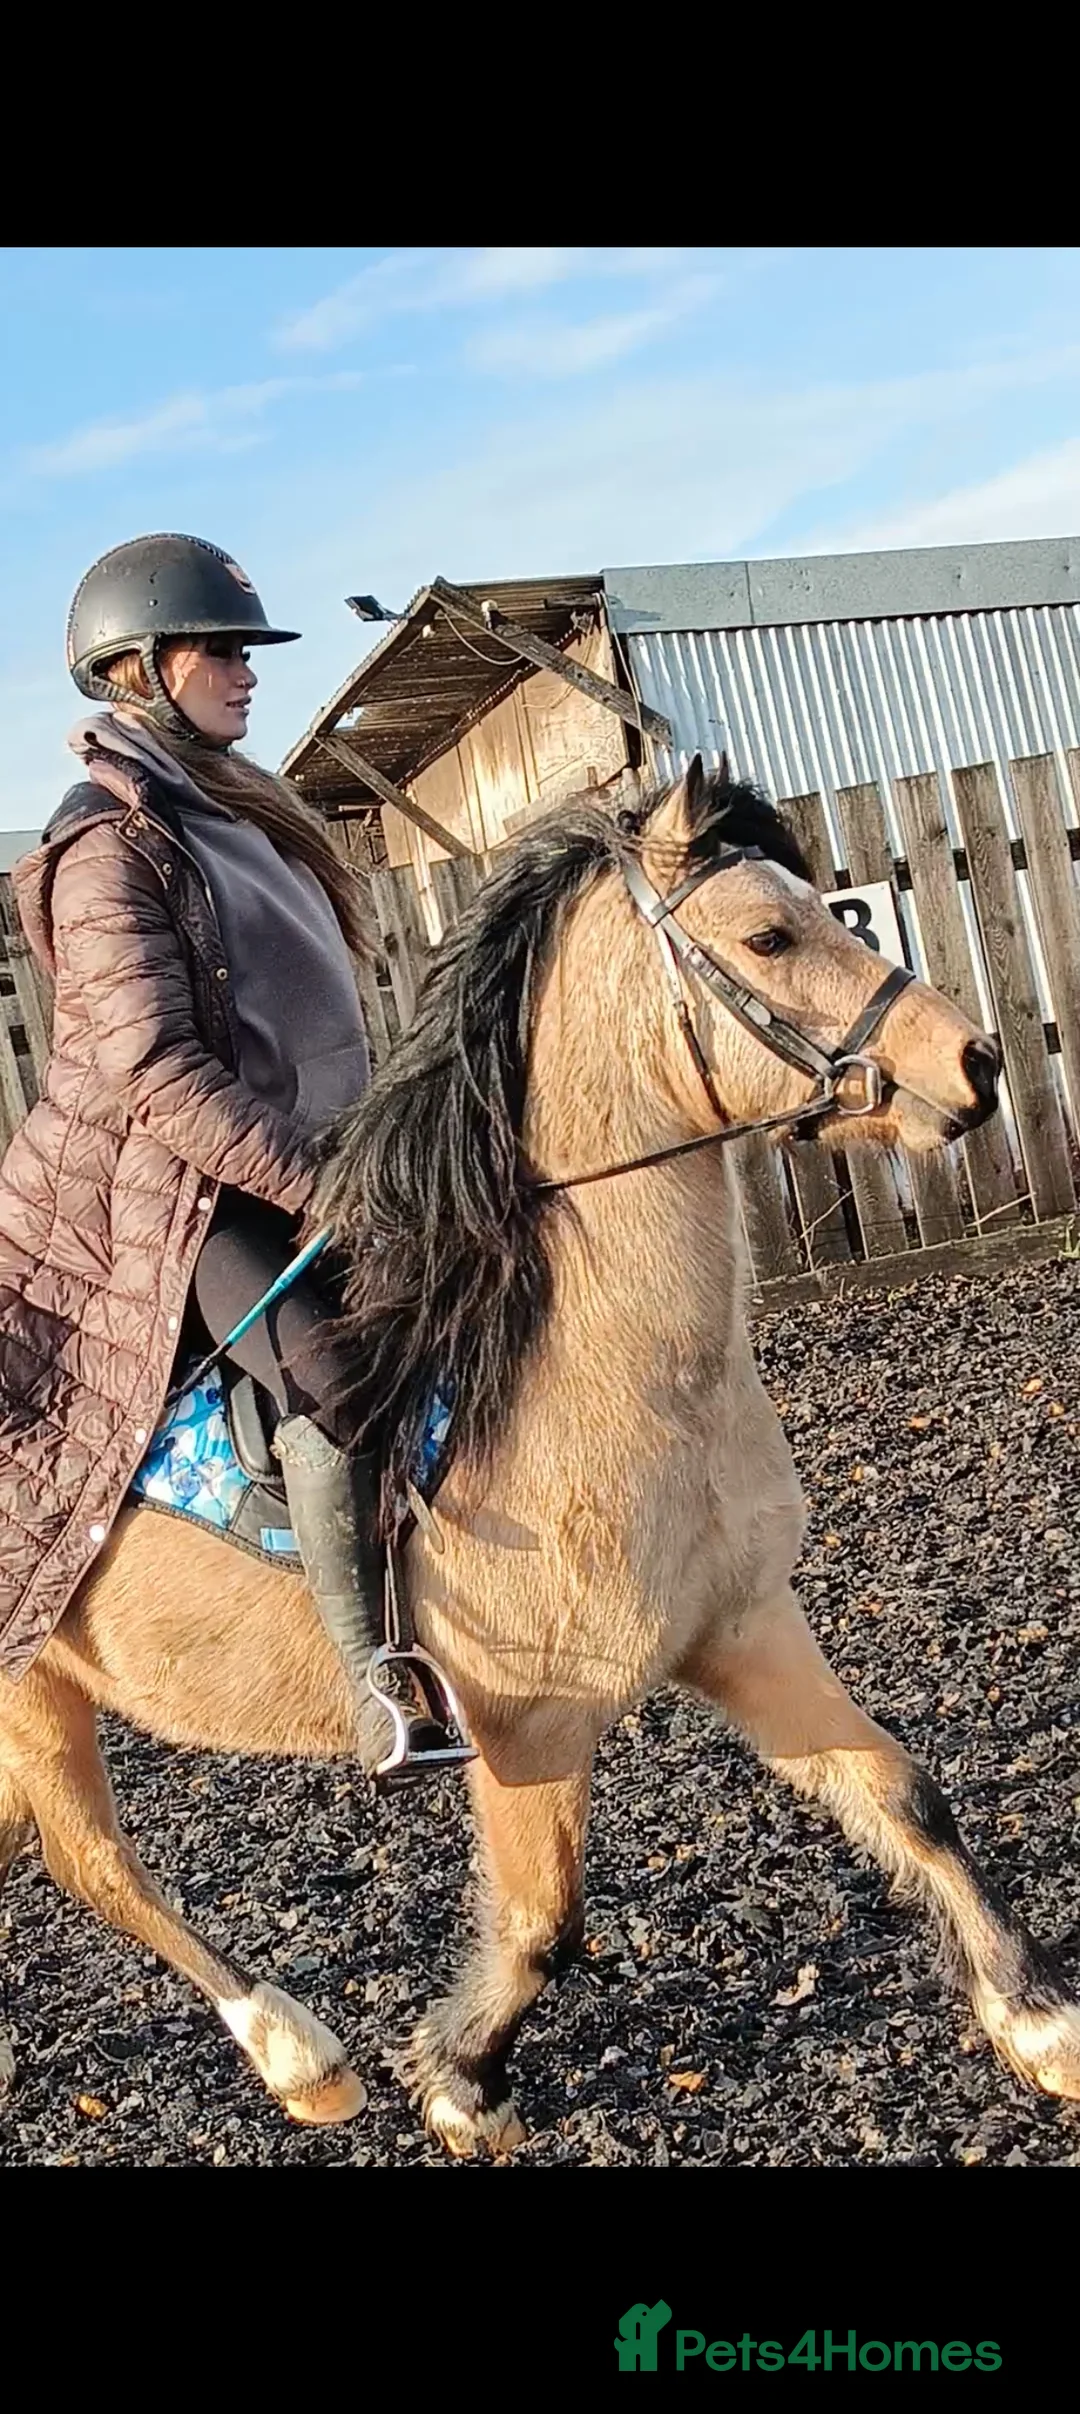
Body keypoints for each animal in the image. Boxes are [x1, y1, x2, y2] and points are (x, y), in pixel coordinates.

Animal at [2, 759, 1078, 2160]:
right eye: (769, 936)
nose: (974, 1059)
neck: (607, 1381)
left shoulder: (743, 1625)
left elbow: (903, 1794)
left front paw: (1040, 2021)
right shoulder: (525, 1722)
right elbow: (543, 1922)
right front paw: (462, 2079)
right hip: (32, 1691)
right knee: (101, 1866)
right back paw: (302, 2057)